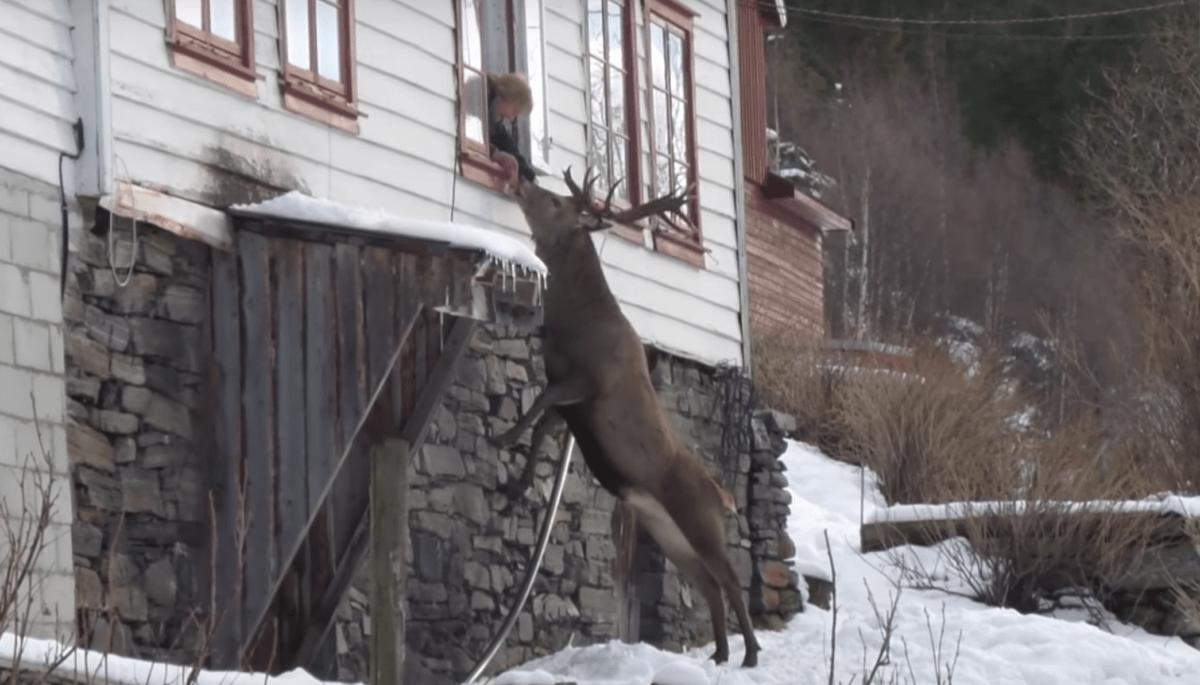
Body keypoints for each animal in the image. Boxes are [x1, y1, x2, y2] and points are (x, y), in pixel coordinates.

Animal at [492, 168, 761, 668]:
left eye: (556, 201)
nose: (523, 178)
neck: (575, 323)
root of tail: (724, 496)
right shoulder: (571, 407)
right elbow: (540, 424)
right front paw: (517, 483)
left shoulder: (586, 383)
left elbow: (537, 405)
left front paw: (503, 438)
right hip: (668, 532)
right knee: (707, 583)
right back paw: (717, 654)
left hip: (700, 521)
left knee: (730, 578)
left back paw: (749, 653)